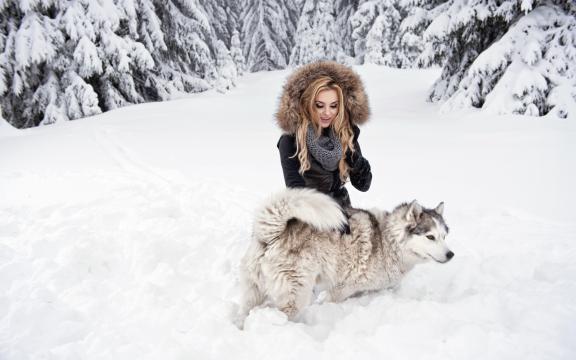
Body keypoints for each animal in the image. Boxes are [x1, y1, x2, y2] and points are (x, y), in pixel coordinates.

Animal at [236, 190, 452, 324]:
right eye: (430, 237)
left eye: (444, 236)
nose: (451, 255)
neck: (387, 239)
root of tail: (271, 233)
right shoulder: (341, 288)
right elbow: (329, 300)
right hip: (296, 294)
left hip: (254, 292)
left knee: (243, 314)